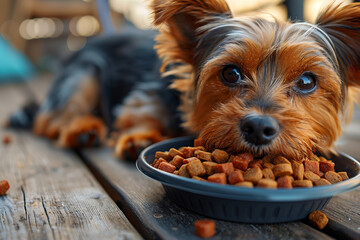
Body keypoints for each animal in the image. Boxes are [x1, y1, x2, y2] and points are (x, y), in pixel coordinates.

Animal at [7, 0, 360, 161]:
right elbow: (138, 114)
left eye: (307, 81)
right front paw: (141, 137)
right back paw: (81, 129)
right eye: (230, 73)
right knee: (49, 118)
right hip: (84, 73)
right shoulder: (146, 94)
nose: (258, 127)